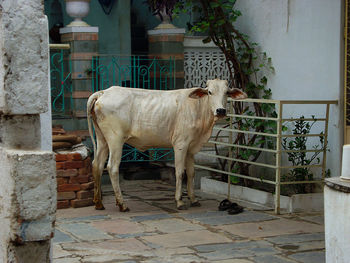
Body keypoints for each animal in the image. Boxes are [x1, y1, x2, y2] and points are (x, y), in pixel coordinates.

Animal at [87, 79, 246, 211]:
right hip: (115, 140)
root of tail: (104, 92)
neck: (198, 109)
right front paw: (179, 201)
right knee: (112, 167)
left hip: (103, 140)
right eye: (210, 92)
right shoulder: (181, 144)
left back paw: (99, 203)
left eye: (226, 92)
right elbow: (180, 172)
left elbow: (191, 173)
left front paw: (193, 199)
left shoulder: (191, 148)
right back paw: (122, 204)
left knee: (97, 165)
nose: (221, 110)